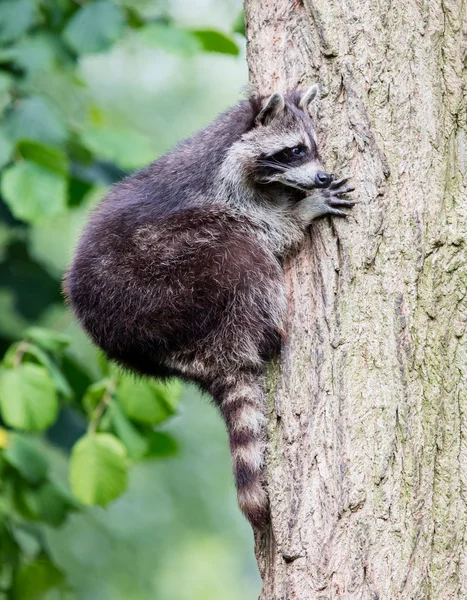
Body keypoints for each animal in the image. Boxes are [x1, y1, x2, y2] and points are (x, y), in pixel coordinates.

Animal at [66, 85, 354, 528]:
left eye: (314, 147)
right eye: (294, 150)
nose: (321, 176)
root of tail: (193, 353)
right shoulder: (223, 195)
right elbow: (269, 231)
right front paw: (301, 211)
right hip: (167, 288)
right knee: (239, 251)